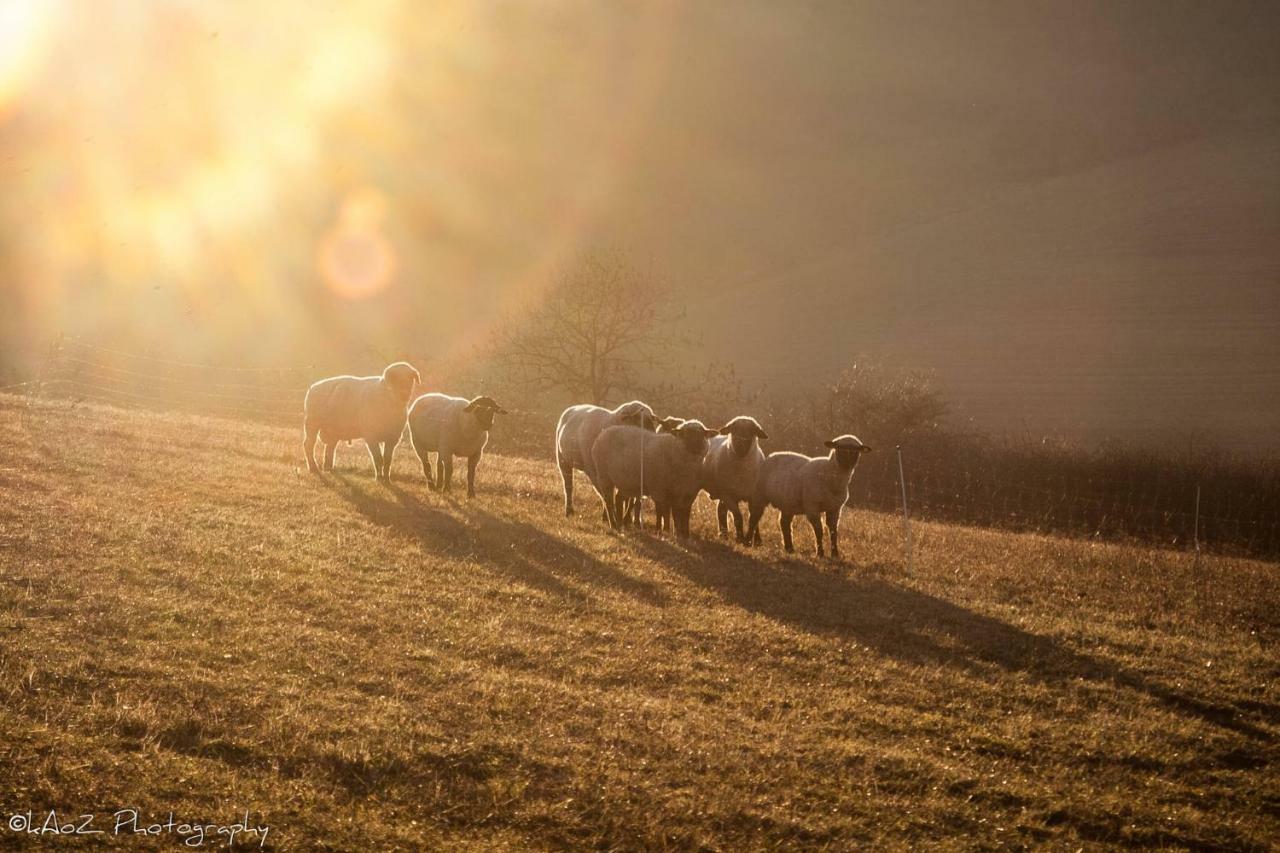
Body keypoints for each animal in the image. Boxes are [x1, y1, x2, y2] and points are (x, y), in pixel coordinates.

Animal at [591, 414, 721, 535]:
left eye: (702, 434)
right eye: (685, 434)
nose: (695, 448)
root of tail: (604, 432)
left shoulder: (688, 492)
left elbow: (683, 513)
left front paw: (683, 534)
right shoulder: (659, 488)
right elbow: (663, 511)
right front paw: (663, 530)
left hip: (626, 480)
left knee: (618, 499)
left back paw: (620, 524)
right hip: (604, 476)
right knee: (608, 501)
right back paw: (613, 524)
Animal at [747, 432, 875, 558]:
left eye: (856, 450)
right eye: (839, 448)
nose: (847, 463)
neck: (829, 474)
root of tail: (770, 456)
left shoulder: (835, 508)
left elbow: (833, 531)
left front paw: (835, 554)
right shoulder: (812, 506)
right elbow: (819, 530)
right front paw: (820, 553)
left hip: (788, 502)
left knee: (784, 523)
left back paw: (789, 548)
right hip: (759, 494)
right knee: (754, 517)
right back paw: (748, 542)